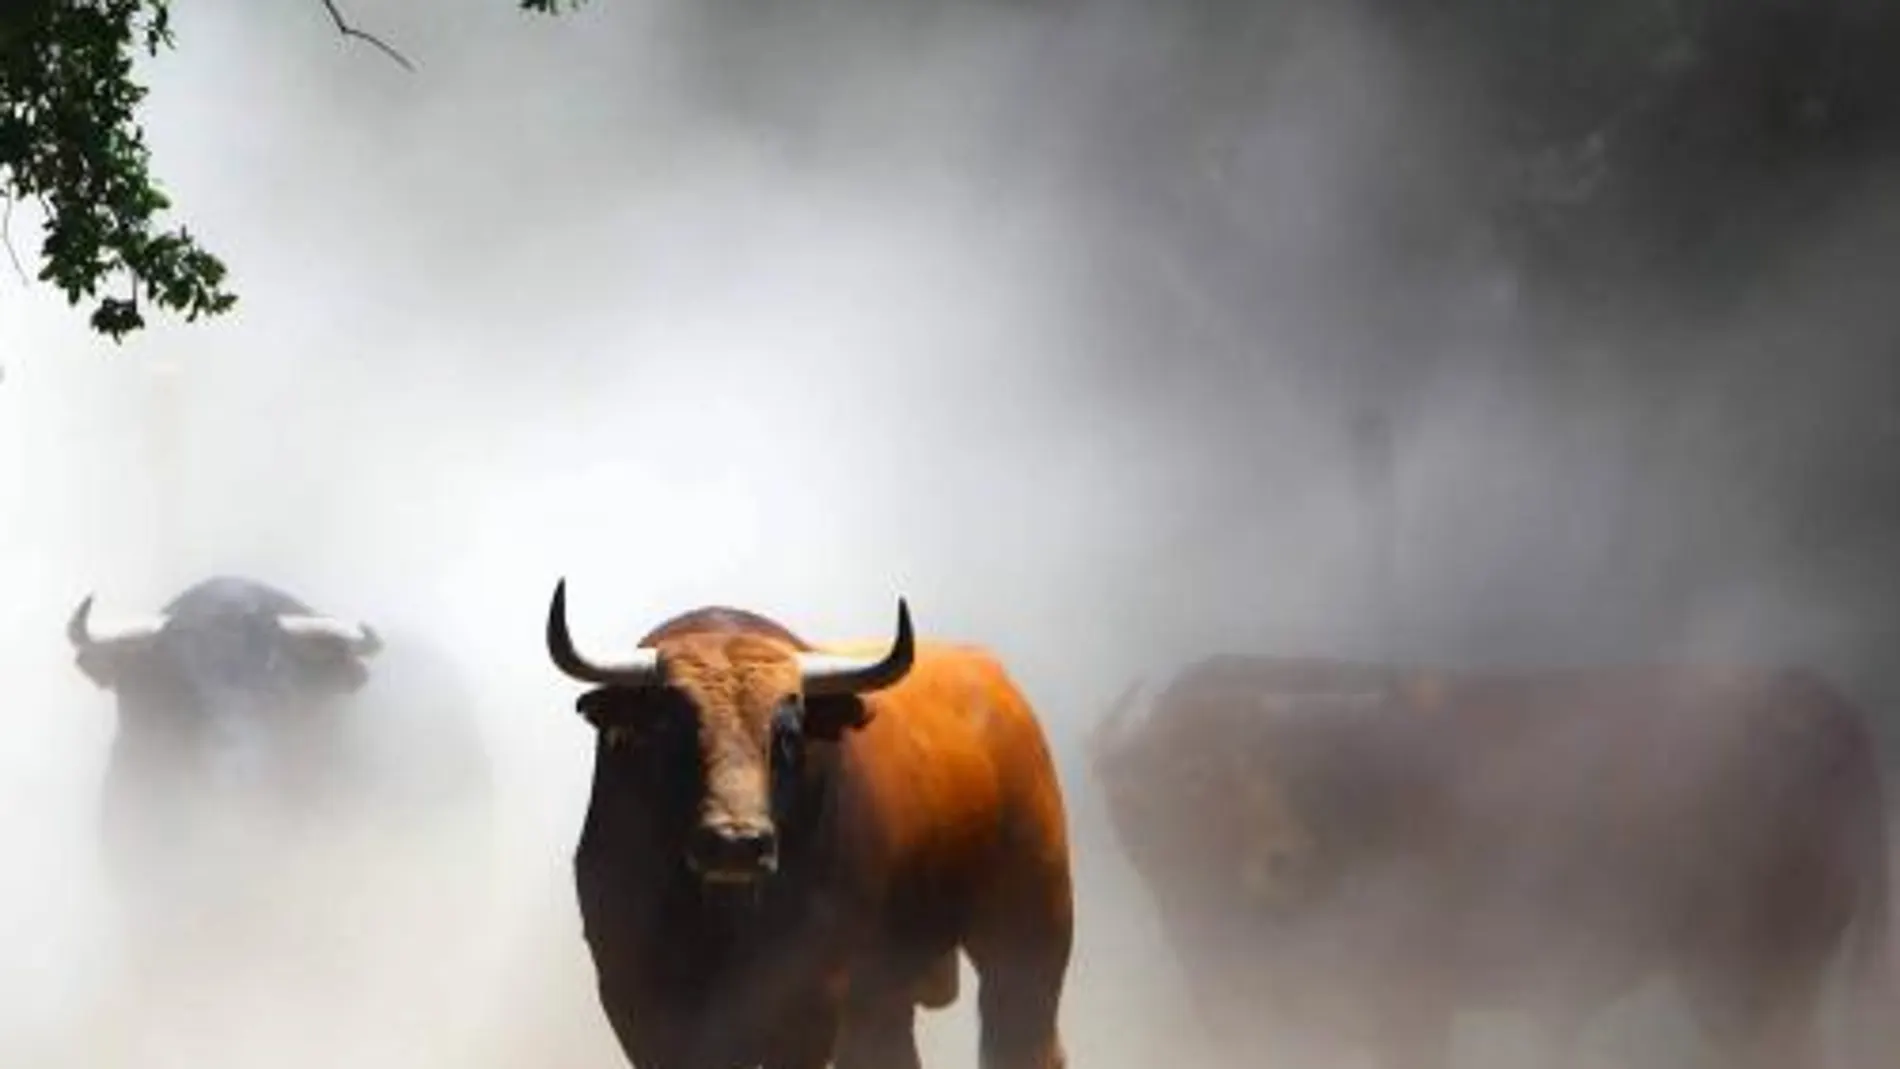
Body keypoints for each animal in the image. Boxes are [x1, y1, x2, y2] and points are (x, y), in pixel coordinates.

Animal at [547, 584, 1071, 1069]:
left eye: (788, 734)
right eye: (666, 727)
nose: (735, 844)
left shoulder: (809, 995)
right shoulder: (635, 996)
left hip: (1029, 938)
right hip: (884, 989)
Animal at [1094, 653, 1892, 1069]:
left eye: (1278, 764)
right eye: (1193, 771)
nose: (1285, 857)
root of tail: (1801, 692)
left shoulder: (1409, 1009)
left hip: (1752, 980)